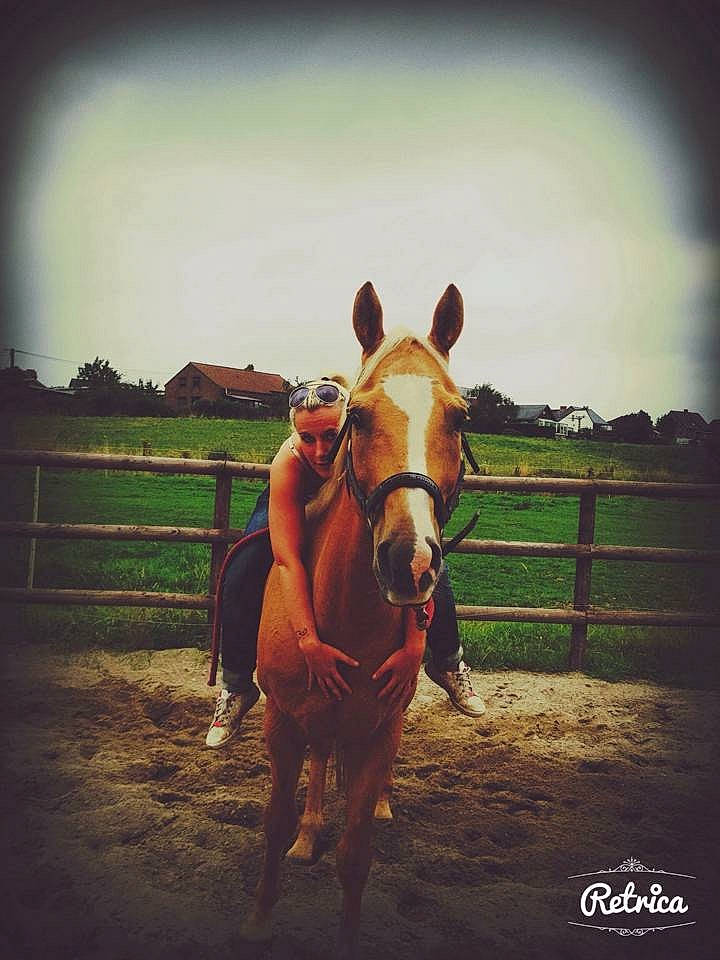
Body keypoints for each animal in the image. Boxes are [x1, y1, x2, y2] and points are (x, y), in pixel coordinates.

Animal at [243, 281, 469, 956]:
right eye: (360, 417)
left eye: (460, 417)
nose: (410, 560)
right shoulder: (283, 721)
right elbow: (273, 822)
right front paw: (259, 919)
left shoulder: (377, 729)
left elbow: (357, 851)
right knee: (319, 763)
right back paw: (309, 831)